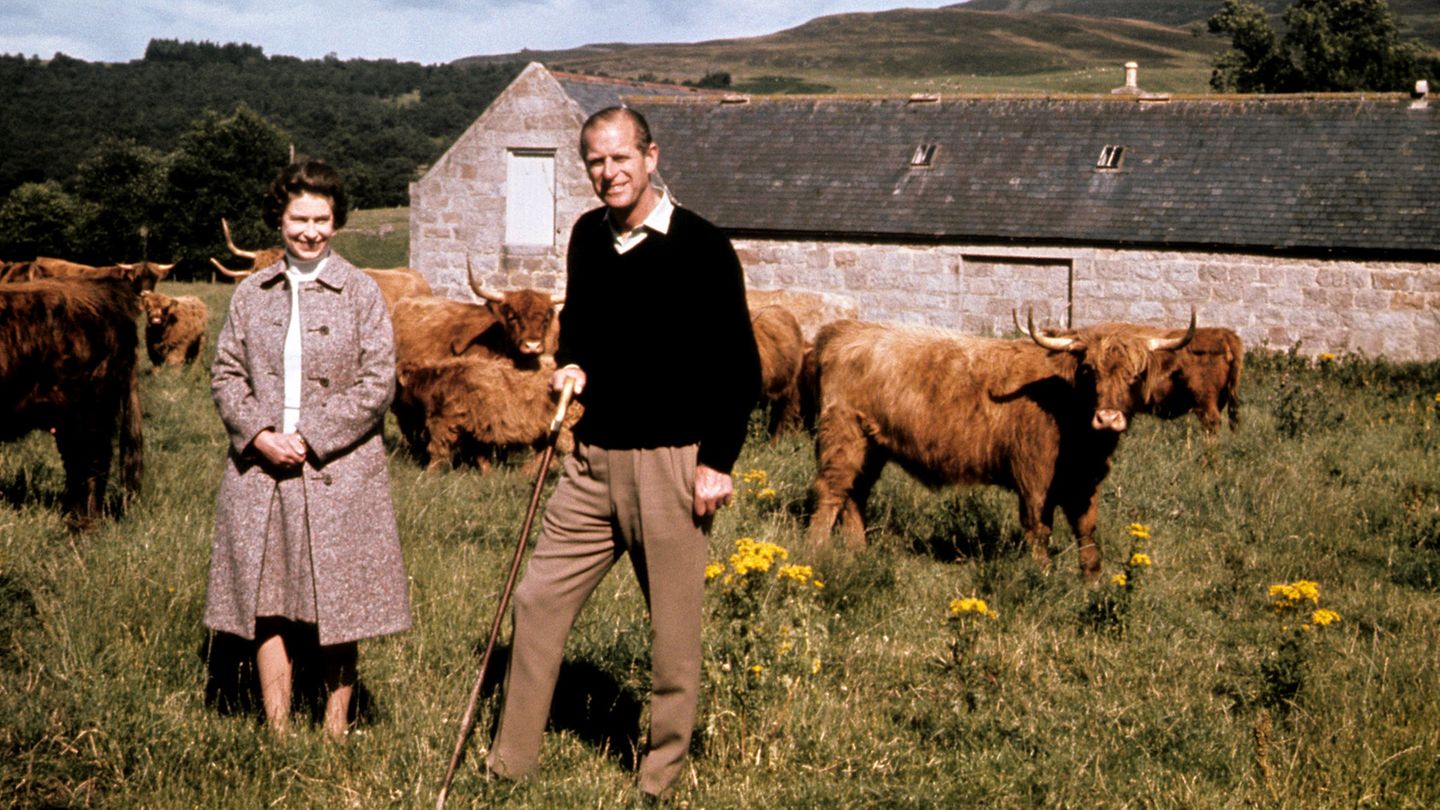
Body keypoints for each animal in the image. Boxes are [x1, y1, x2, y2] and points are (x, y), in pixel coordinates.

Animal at [394, 354, 578, 472]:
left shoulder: (444, 422)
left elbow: (437, 450)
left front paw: (428, 475)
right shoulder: (474, 428)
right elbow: (480, 455)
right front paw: (488, 474)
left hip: (563, 431)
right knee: (545, 455)